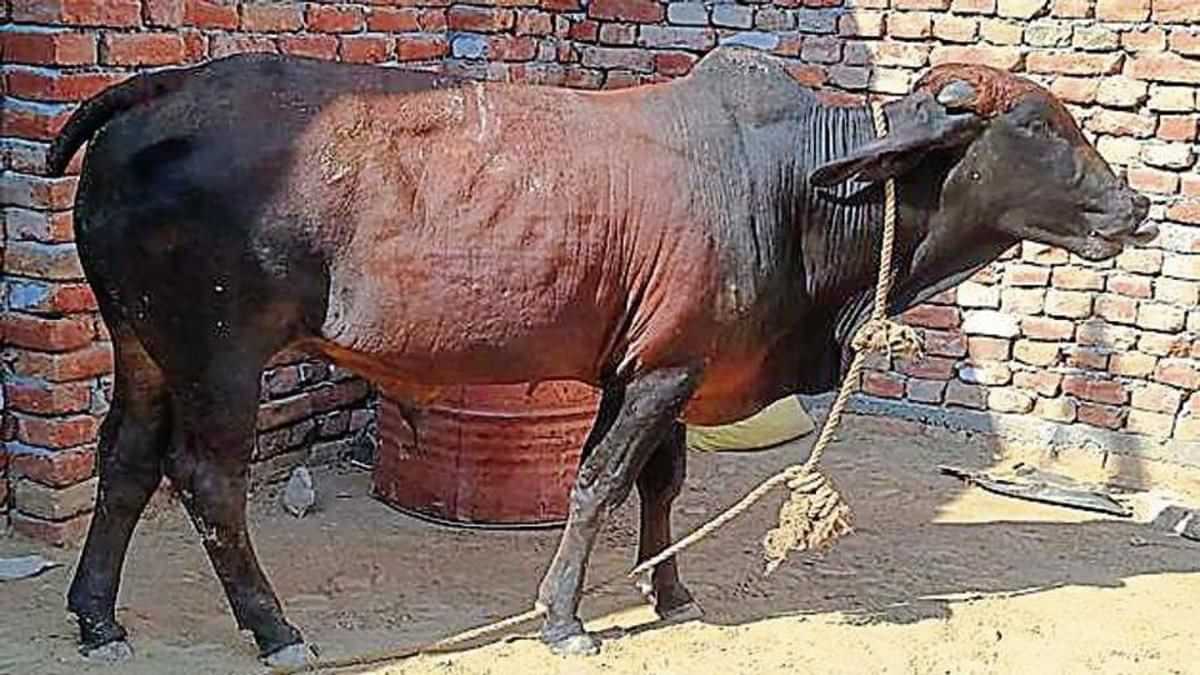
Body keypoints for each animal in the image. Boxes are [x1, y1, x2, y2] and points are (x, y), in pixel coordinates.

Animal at [46, 46, 1153, 667]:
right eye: (1034, 123)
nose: (1135, 207)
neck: (795, 185)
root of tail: (159, 87)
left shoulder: (666, 364)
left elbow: (660, 484)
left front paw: (670, 591)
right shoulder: (662, 370)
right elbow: (599, 484)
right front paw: (566, 617)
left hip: (141, 345)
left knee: (126, 463)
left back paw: (96, 617)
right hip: (218, 353)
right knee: (206, 481)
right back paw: (273, 628)